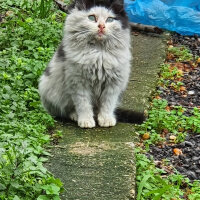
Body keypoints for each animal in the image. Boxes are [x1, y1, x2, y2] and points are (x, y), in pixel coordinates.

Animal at [38, 0, 144, 128]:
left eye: (109, 19)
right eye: (92, 17)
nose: (101, 26)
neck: (99, 53)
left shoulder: (113, 84)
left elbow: (108, 105)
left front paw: (106, 120)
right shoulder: (78, 83)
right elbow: (83, 104)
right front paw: (86, 121)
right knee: (65, 111)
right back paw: (76, 116)